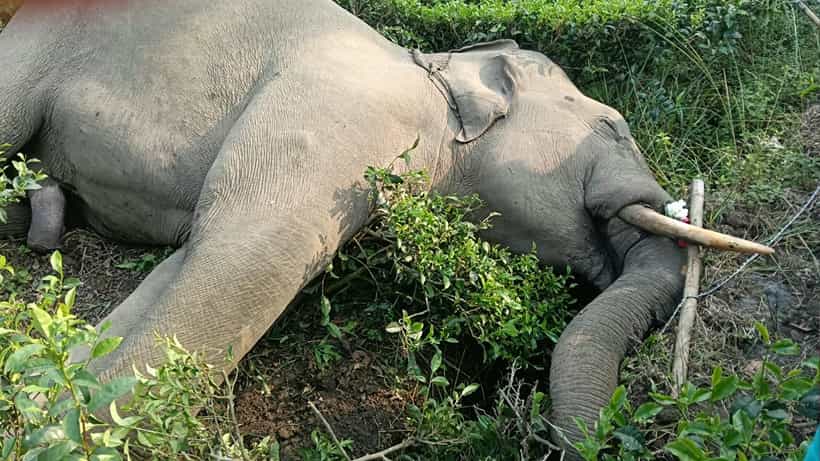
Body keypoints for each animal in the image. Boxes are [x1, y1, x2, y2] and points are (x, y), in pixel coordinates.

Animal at [0, 0, 773, 456]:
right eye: (614, 126)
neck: (433, 73)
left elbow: (195, 259)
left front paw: (47, 397)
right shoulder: (339, 118)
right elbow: (251, 256)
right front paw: (58, 431)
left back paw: (43, 219)